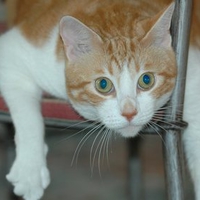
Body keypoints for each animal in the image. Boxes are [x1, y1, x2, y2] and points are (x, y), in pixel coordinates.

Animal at [0, 0, 199, 199]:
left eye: (146, 80)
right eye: (103, 84)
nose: (129, 112)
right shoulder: (17, 53)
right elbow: (28, 117)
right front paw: (30, 169)